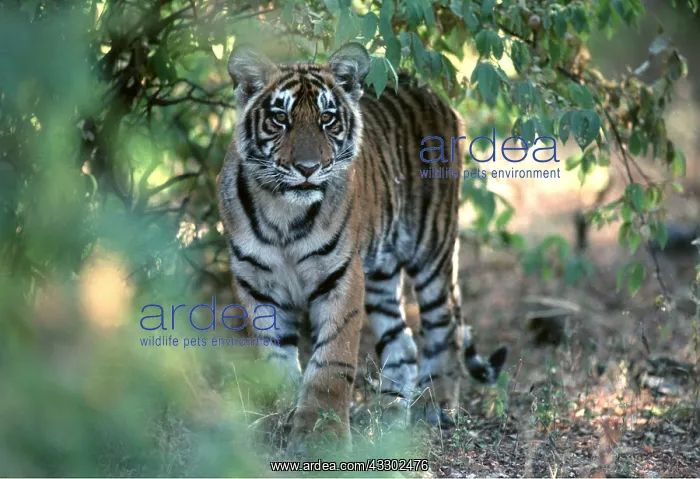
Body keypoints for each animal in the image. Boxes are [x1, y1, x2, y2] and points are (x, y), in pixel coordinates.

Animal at [217, 42, 507, 451]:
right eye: (280, 119)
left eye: (326, 118)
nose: (308, 167)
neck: (283, 211)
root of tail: (435, 94)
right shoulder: (256, 284)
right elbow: (276, 360)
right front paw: (281, 424)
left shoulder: (340, 276)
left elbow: (331, 361)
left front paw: (321, 439)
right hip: (382, 272)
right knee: (403, 345)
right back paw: (388, 416)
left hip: (432, 248)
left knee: (445, 326)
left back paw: (436, 407)